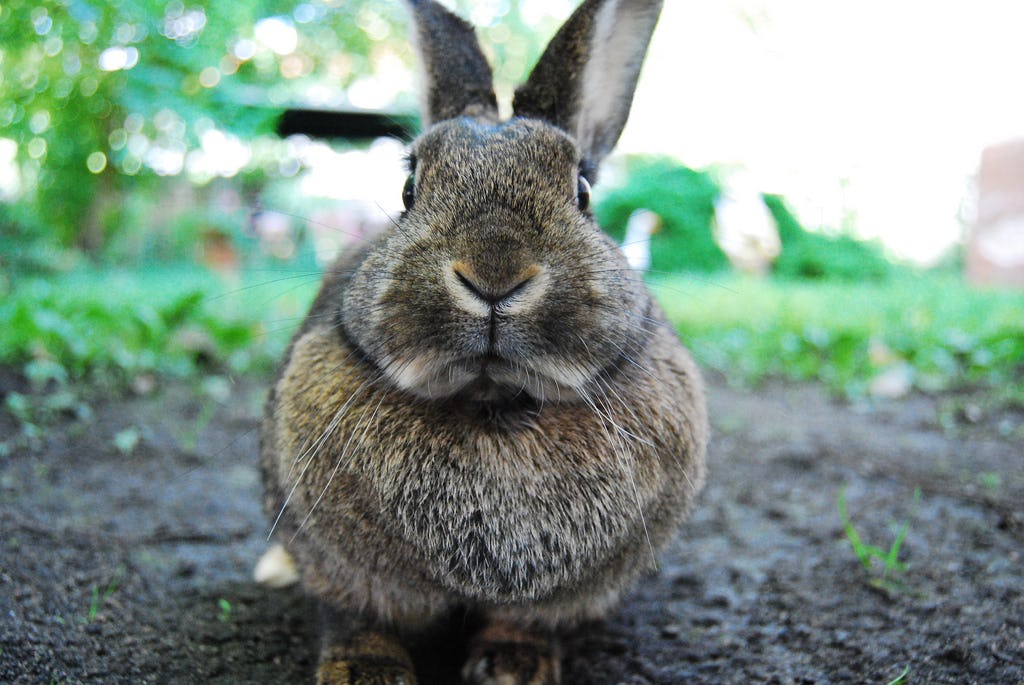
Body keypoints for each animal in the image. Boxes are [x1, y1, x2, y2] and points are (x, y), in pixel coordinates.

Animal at [259, 0, 708, 683]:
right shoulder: (337, 568)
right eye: (409, 189)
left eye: (582, 191)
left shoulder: (557, 598)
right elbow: (353, 617)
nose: (494, 273)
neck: (492, 403)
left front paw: (514, 666)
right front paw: (365, 671)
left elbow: (525, 621)